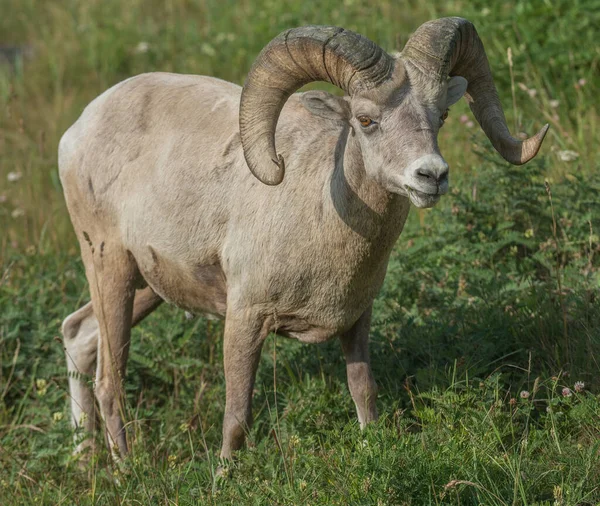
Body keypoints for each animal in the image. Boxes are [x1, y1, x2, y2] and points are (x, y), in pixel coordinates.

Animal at [59, 17, 548, 462]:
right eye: (365, 120)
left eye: (441, 116)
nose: (431, 176)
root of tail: (77, 130)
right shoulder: (245, 319)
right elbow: (236, 417)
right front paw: (223, 479)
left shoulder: (356, 320)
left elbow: (363, 391)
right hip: (110, 267)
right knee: (109, 381)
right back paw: (126, 470)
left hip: (147, 286)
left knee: (79, 335)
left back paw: (84, 458)